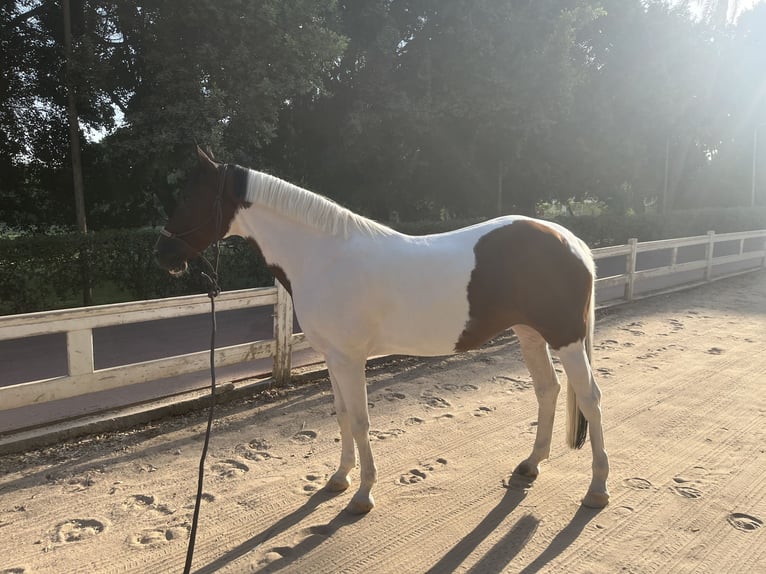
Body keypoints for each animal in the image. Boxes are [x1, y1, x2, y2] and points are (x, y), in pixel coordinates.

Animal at [155, 147, 610, 514]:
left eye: (192, 196)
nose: (163, 255)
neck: (324, 256)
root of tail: (570, 240)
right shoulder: (332, 358)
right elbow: (341, 416)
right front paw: (339, 479)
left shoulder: (350, 358)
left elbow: (360, 421)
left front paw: (362, 495)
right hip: (530, 334)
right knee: (548, 390)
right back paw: (531, 465)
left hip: (566, 340)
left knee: (590, 399)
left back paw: (597, 489)